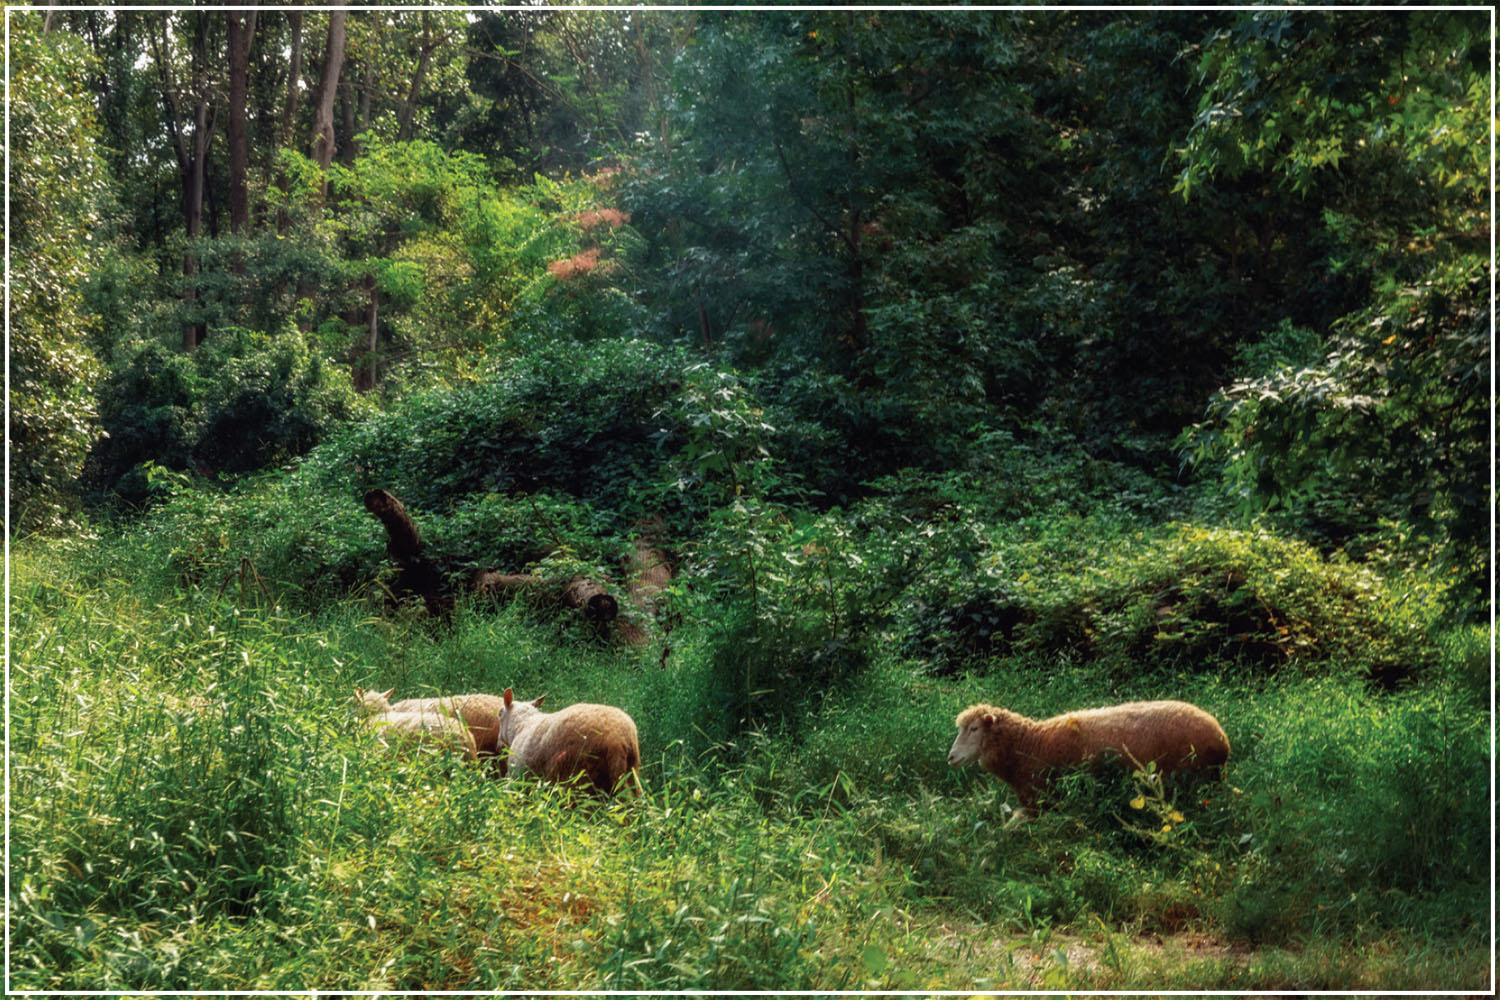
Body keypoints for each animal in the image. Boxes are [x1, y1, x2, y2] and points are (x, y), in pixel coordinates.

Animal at [498, 689, 639, 797]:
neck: (520, 725)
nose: (498, 744)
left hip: (577, 782)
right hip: (630, 777)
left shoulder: (516, 778)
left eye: (499, 713)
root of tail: (617, 742)